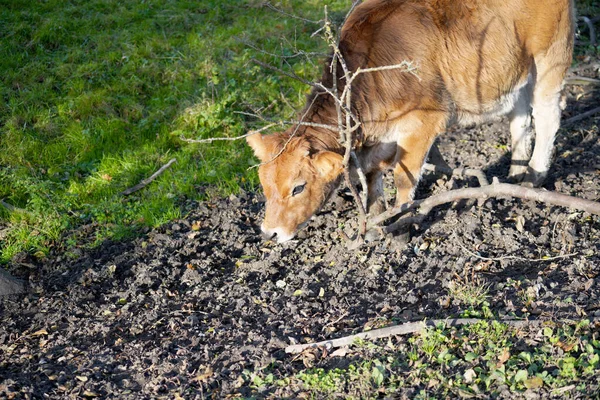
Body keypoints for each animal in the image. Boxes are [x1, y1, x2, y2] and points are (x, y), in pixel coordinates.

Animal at [246, 0, 576, 242]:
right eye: (264, 184)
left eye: (298, 188)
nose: (269, 233)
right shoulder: (378, 140)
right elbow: (371, 176)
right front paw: (374, 219)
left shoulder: (423, 123)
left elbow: (404, 180)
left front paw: (401, 225)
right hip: (512, 69)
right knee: (520, 117)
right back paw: (516, 172)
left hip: (551, 55)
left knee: (547, 114)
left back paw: (533, 175)